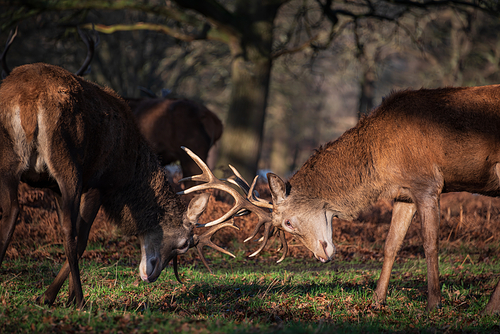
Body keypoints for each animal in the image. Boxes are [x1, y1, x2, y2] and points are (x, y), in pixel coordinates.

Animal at [182, 85, 500, 314]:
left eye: (288, 222)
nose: (321, 256)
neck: (381, 163)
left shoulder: (428, 183)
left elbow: (431, 244)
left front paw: (434, 304)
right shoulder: (404, 194)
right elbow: (391, 245)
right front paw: (376, 301)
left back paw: (487, 308)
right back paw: (489, 309)